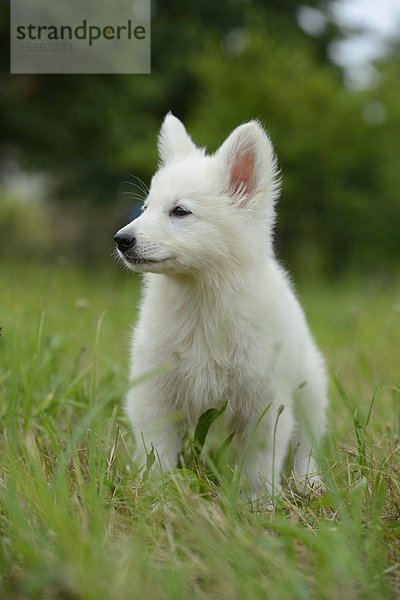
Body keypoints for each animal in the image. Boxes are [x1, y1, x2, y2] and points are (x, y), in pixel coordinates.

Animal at [114, 112, 326, 496]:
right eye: (146, 207)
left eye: (180, 211)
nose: (121, 239)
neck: (202, 302)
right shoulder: (154, 393)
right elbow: (157, 449)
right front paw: (157, 493)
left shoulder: (265, 401)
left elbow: (259, 464)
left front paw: (260, 503)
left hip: (312, 389)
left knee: (307, 445)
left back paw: (309, 483)